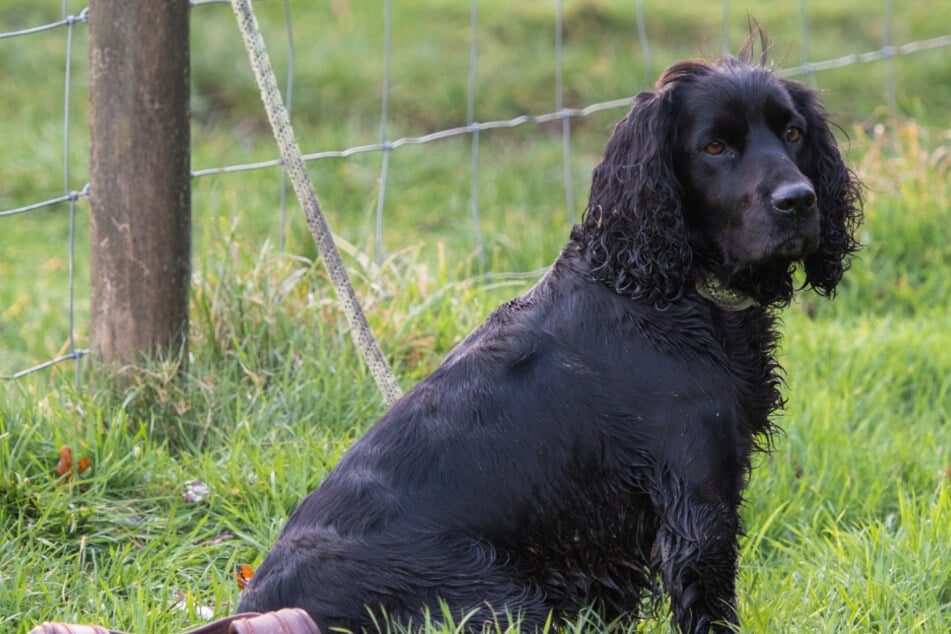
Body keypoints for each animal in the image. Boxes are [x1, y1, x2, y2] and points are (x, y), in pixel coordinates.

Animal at [236, 42, 864, 628]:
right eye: (715, 147)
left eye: (792, 132)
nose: (798, 200)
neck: (661, 287)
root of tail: (266, 609)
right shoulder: (696, 495)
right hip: (503, 600)